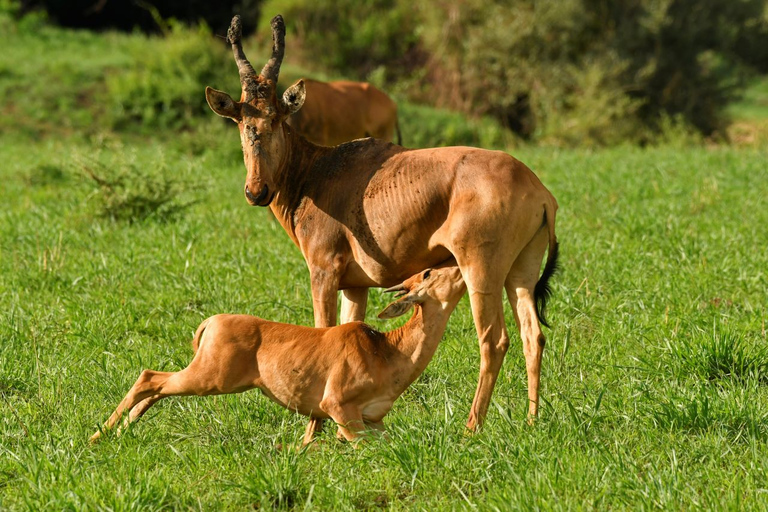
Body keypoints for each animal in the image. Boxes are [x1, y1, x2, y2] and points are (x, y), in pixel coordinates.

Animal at [92, 264, 468, 444]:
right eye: (429, 272)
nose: (460, 268)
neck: (385, 348)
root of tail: (211, 322)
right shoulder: (338, 406)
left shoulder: (374, 419)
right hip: (210, 379)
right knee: (149, 377)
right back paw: (98, 436)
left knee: (157, 387)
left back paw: (119, 433)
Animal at [206, 15, 560, 440]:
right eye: (242, 119)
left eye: (276, 115)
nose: (256, 191)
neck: (318, 172)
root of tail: (538, 190)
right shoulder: (355, 286)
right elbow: (343, 331)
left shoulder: (323, 272)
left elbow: (321, 330)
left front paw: (310, 438)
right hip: (521, 270)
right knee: (532, 335)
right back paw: (532, 421)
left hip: (480, 268)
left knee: (493, 340)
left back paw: (471, 428)